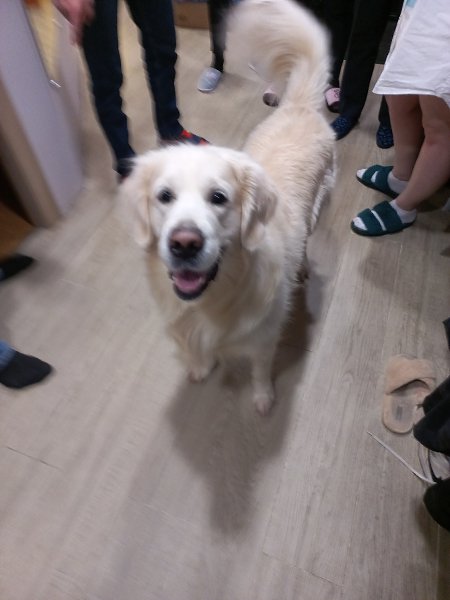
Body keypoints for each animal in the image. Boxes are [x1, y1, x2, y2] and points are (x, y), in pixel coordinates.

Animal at [121, 0, 335, 414]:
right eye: (164, 196)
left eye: (219, 197)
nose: (184, 243)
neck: (215, 298)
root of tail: (299, 105)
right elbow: (197, 354)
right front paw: (201, 369)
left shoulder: (264, 338)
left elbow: (260, 370)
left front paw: (263, 399)